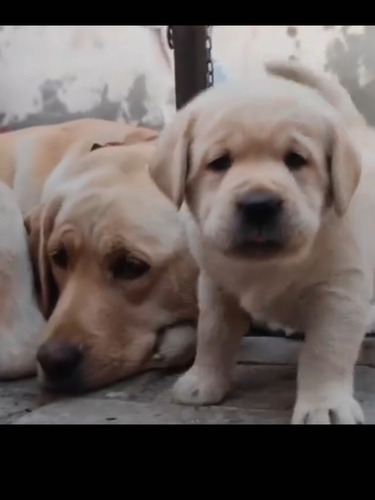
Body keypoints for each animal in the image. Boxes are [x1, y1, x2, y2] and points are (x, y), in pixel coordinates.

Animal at [150, 60, 375, 424]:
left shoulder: (339, 291)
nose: (259, 205)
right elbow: (213, 335)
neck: (268, 265)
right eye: (219, 162)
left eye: (296, 159)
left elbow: (325, 350)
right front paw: (204, 382)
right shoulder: (215, 285)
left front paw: (324, 405)